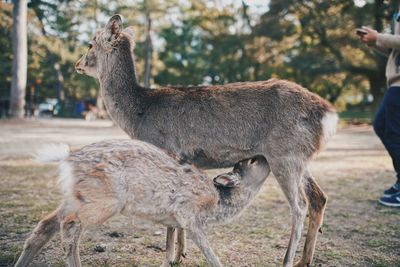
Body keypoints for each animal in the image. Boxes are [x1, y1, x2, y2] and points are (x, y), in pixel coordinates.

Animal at [75, 15, 338, 267]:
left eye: (90, 43)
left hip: (285, 155)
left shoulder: (165, 150)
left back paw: (287, 261)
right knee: (319, 197)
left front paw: (168, 258)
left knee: (300, 206)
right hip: (300, 158)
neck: (139, 115)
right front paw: (180, 254)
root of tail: (329, 115)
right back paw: (304, 260)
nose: (77, 64)